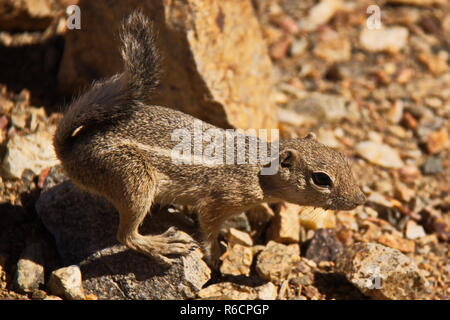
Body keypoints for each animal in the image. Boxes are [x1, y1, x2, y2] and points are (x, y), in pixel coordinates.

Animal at [52, 11, 366, 268]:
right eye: (321, 179)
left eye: (344, 159)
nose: (359, 200)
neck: (260, 169)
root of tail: (70, 151)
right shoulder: (221, 200)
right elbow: (208, 226)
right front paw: (214, 255)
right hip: (134, 180)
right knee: (125, 236)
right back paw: (162, 244)